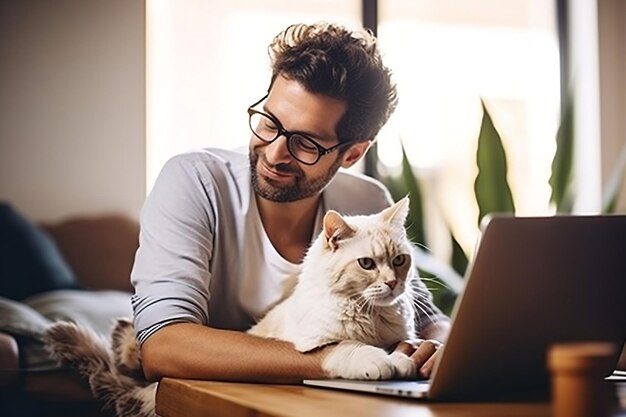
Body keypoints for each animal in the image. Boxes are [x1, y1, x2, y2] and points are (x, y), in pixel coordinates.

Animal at [42, 196, 428, 416]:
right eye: (367, 264)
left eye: (399, 261)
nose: (393, 283)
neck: (371, 314)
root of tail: (149, 394)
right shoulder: (314, 344)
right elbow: (350, 346)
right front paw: (386, 363)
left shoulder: (400, 334)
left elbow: (404, 346)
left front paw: (404, 361)